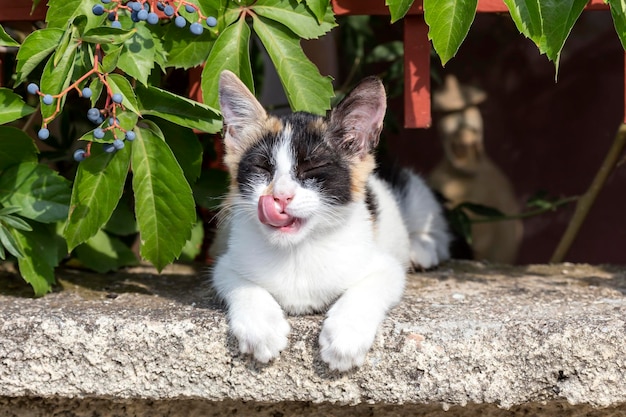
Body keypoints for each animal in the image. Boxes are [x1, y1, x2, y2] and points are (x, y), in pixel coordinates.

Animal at [210, 70, 448, 370]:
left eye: (313, 168)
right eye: (262, 167)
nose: (280, 196)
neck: (297, 250)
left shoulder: (386, 266)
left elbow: (370, 287)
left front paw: (346, 335)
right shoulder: (225, 260)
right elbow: (238, 283)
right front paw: (260, 327)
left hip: (410, 190)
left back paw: (423, 248)